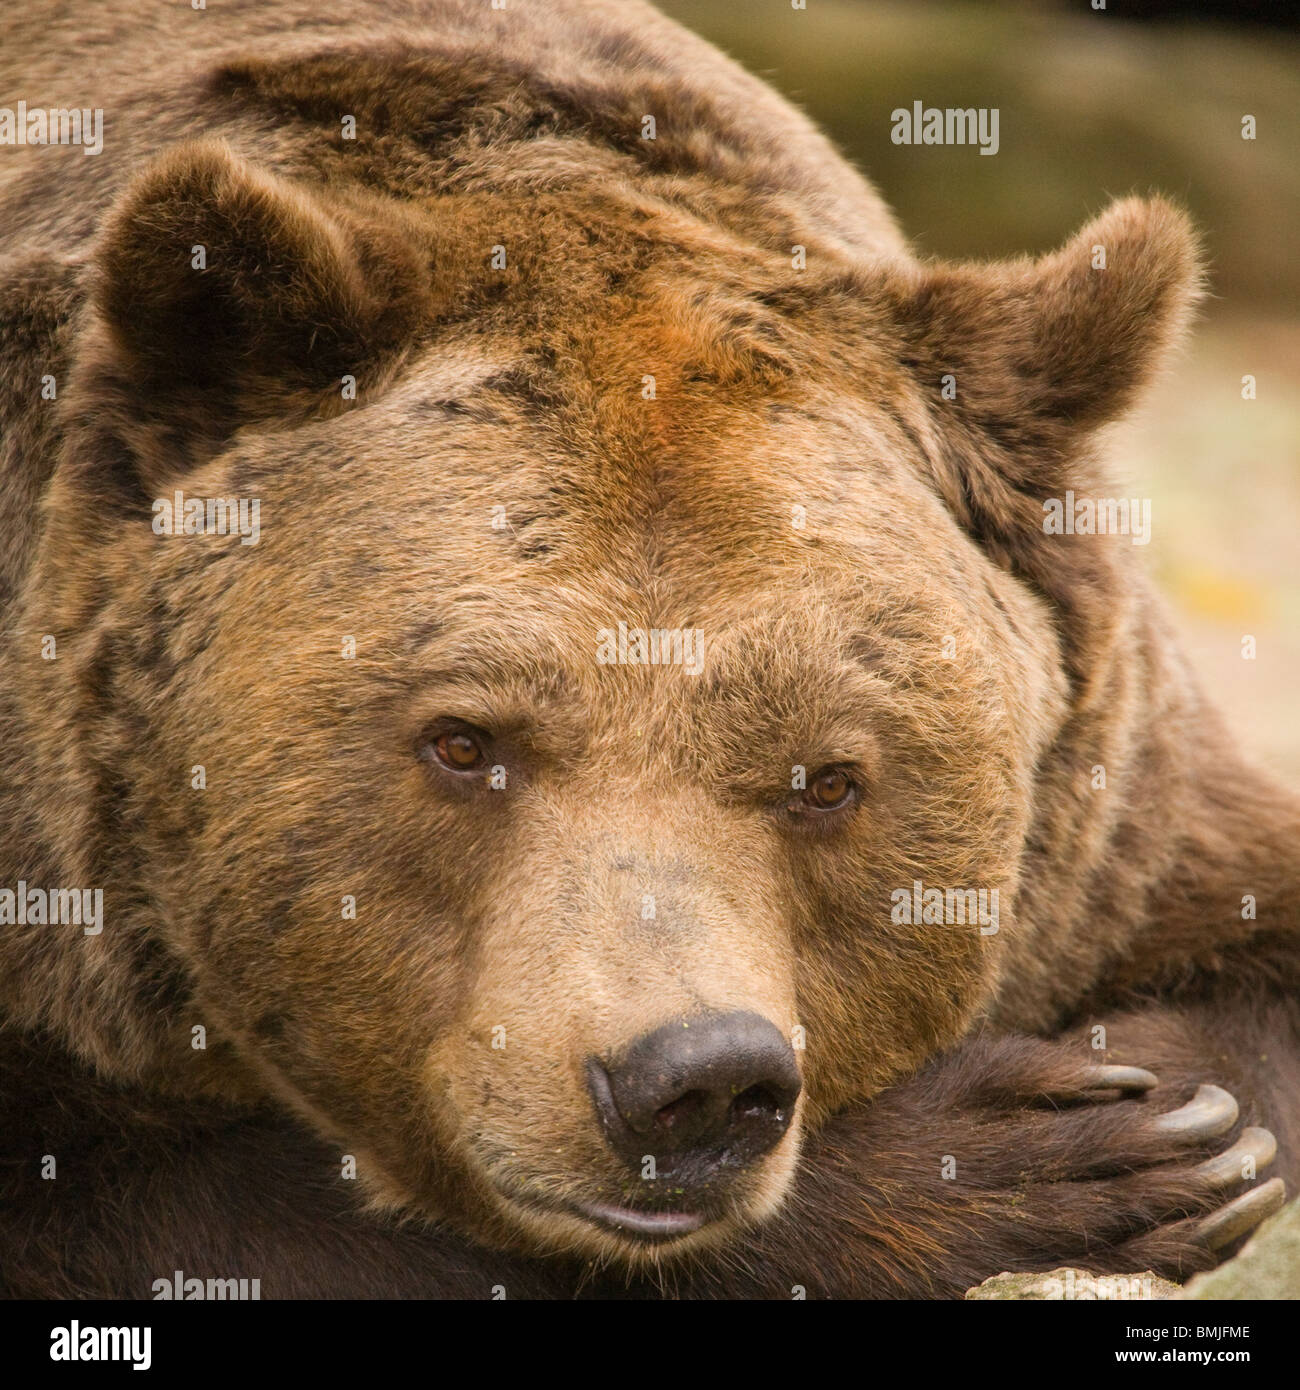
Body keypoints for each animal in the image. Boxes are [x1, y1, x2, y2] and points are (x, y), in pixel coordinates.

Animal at [0, 0, 1296, 1299]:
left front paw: (1177, 1118)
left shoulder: (1111, 806)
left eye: (827, 778)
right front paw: (1026, 1148)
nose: (693, 1083)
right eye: (461, 740)